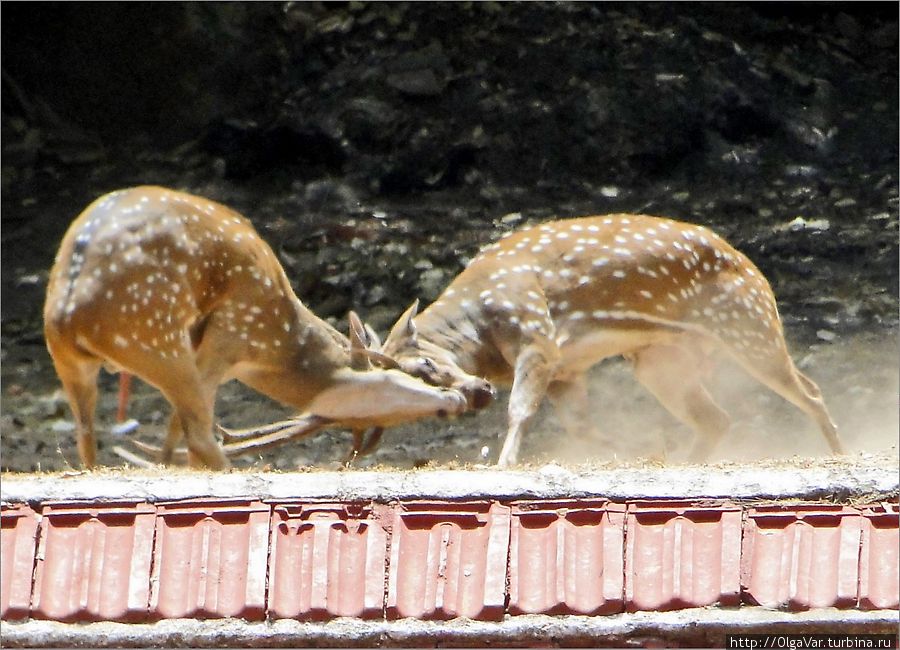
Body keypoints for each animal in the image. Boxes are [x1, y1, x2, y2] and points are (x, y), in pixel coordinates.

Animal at [372, 214, 844, 466]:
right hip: (660, 361)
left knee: (810, 391)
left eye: (424, 365)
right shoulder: (566, 371)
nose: (475, 395)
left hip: (749, 325)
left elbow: (520, 410)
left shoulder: (539, 338)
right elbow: (581, 427)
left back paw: (839, 451)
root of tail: (753, 268)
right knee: (717, 418)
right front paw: (639, 450)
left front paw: (505, 463)